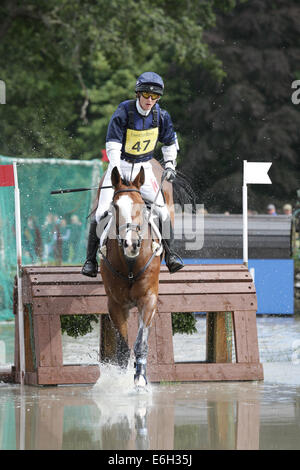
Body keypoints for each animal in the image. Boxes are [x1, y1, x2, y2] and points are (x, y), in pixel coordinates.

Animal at [99, 163, 173, 388]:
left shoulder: (148, 300)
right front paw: (120, 381)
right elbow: (123, 348)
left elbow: (141, 342)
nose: (131, 244)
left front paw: (140, 378)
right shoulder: (115, 305)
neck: (130, 263)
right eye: (115, 207)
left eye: (142, 205)